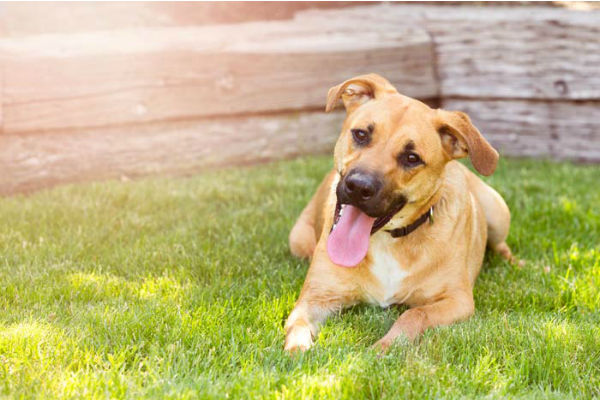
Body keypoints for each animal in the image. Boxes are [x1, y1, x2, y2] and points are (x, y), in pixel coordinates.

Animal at [284, 73, 516, 352]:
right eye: (360, 134)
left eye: (412, 157)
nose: (358, 187)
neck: (387, 239)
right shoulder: (315, 297)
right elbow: (297, 324)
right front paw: (299, 352)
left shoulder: (457, 300)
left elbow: (414, 314)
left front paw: (384, 348)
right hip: (297, 239)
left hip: (497, 211)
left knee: (502, 246)